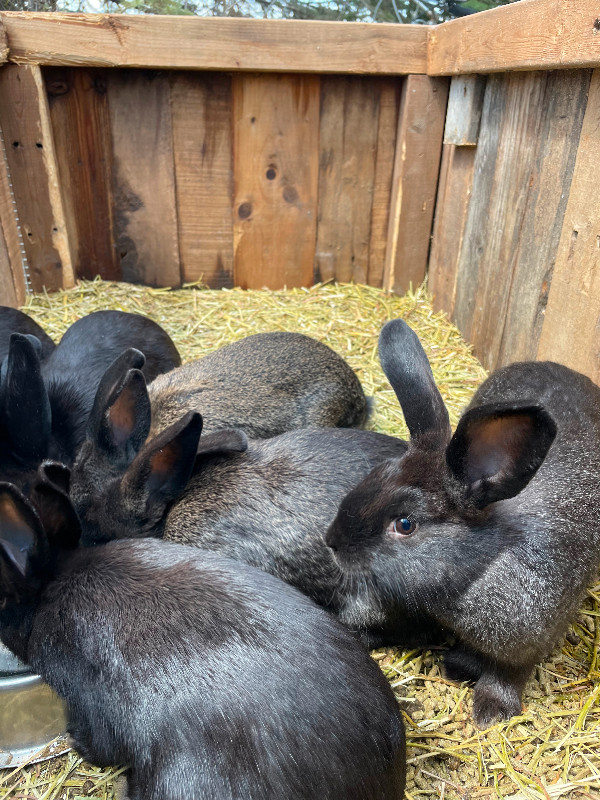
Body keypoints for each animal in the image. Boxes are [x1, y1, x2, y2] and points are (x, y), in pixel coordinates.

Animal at [326, 318, 600, 724]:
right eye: (374, 475)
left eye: (405, 524)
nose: (332, 541)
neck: (480, 566)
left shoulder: (530, 640)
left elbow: (508, 673)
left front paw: (491, 711)